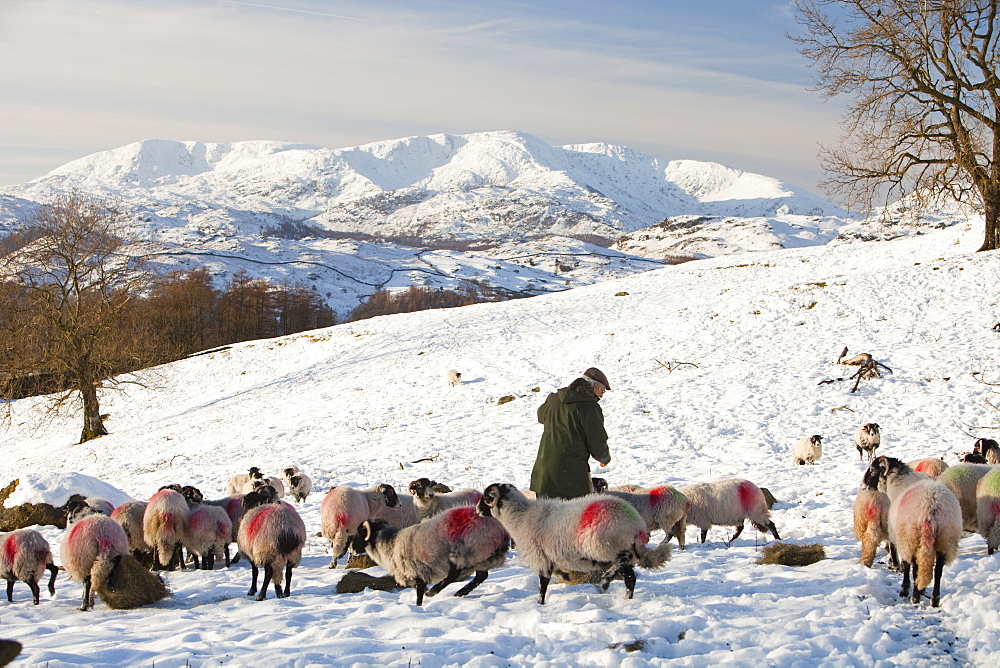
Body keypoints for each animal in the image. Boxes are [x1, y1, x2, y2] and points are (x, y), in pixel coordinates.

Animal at [354, 508, 508, 608]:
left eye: (360, 533)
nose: (352, 549)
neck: (390, 544)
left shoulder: (419, 572)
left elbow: (419, 595)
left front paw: (419, 606)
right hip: (479, 557)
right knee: (481, 576)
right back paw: (460, 593)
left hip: (463, 551)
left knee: (454, 574)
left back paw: (434, 592)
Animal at [474, 480, 672, 604]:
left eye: (486, 498)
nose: (476, 510)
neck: (520, 517)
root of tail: (634, 523)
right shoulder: (550, 558)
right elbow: (556, 574)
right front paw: (566, 577)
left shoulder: (540, 558)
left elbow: (542, 586)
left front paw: (540, 604)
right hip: (616, 548)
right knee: (630, 577)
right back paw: (626, 598)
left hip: (605, 546)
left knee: (621, 562)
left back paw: (605, 582)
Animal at [864, 456, 964, 608]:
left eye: (873, 469)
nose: (863, 484)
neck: (898, 483)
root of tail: (932, 508)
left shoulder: (902, 539)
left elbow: (906, 565)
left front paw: (905, 589)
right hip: (945, 540)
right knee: (938, 571)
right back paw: (934, 599)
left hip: (912, 537)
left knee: (916, 569)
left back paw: (915, 597)